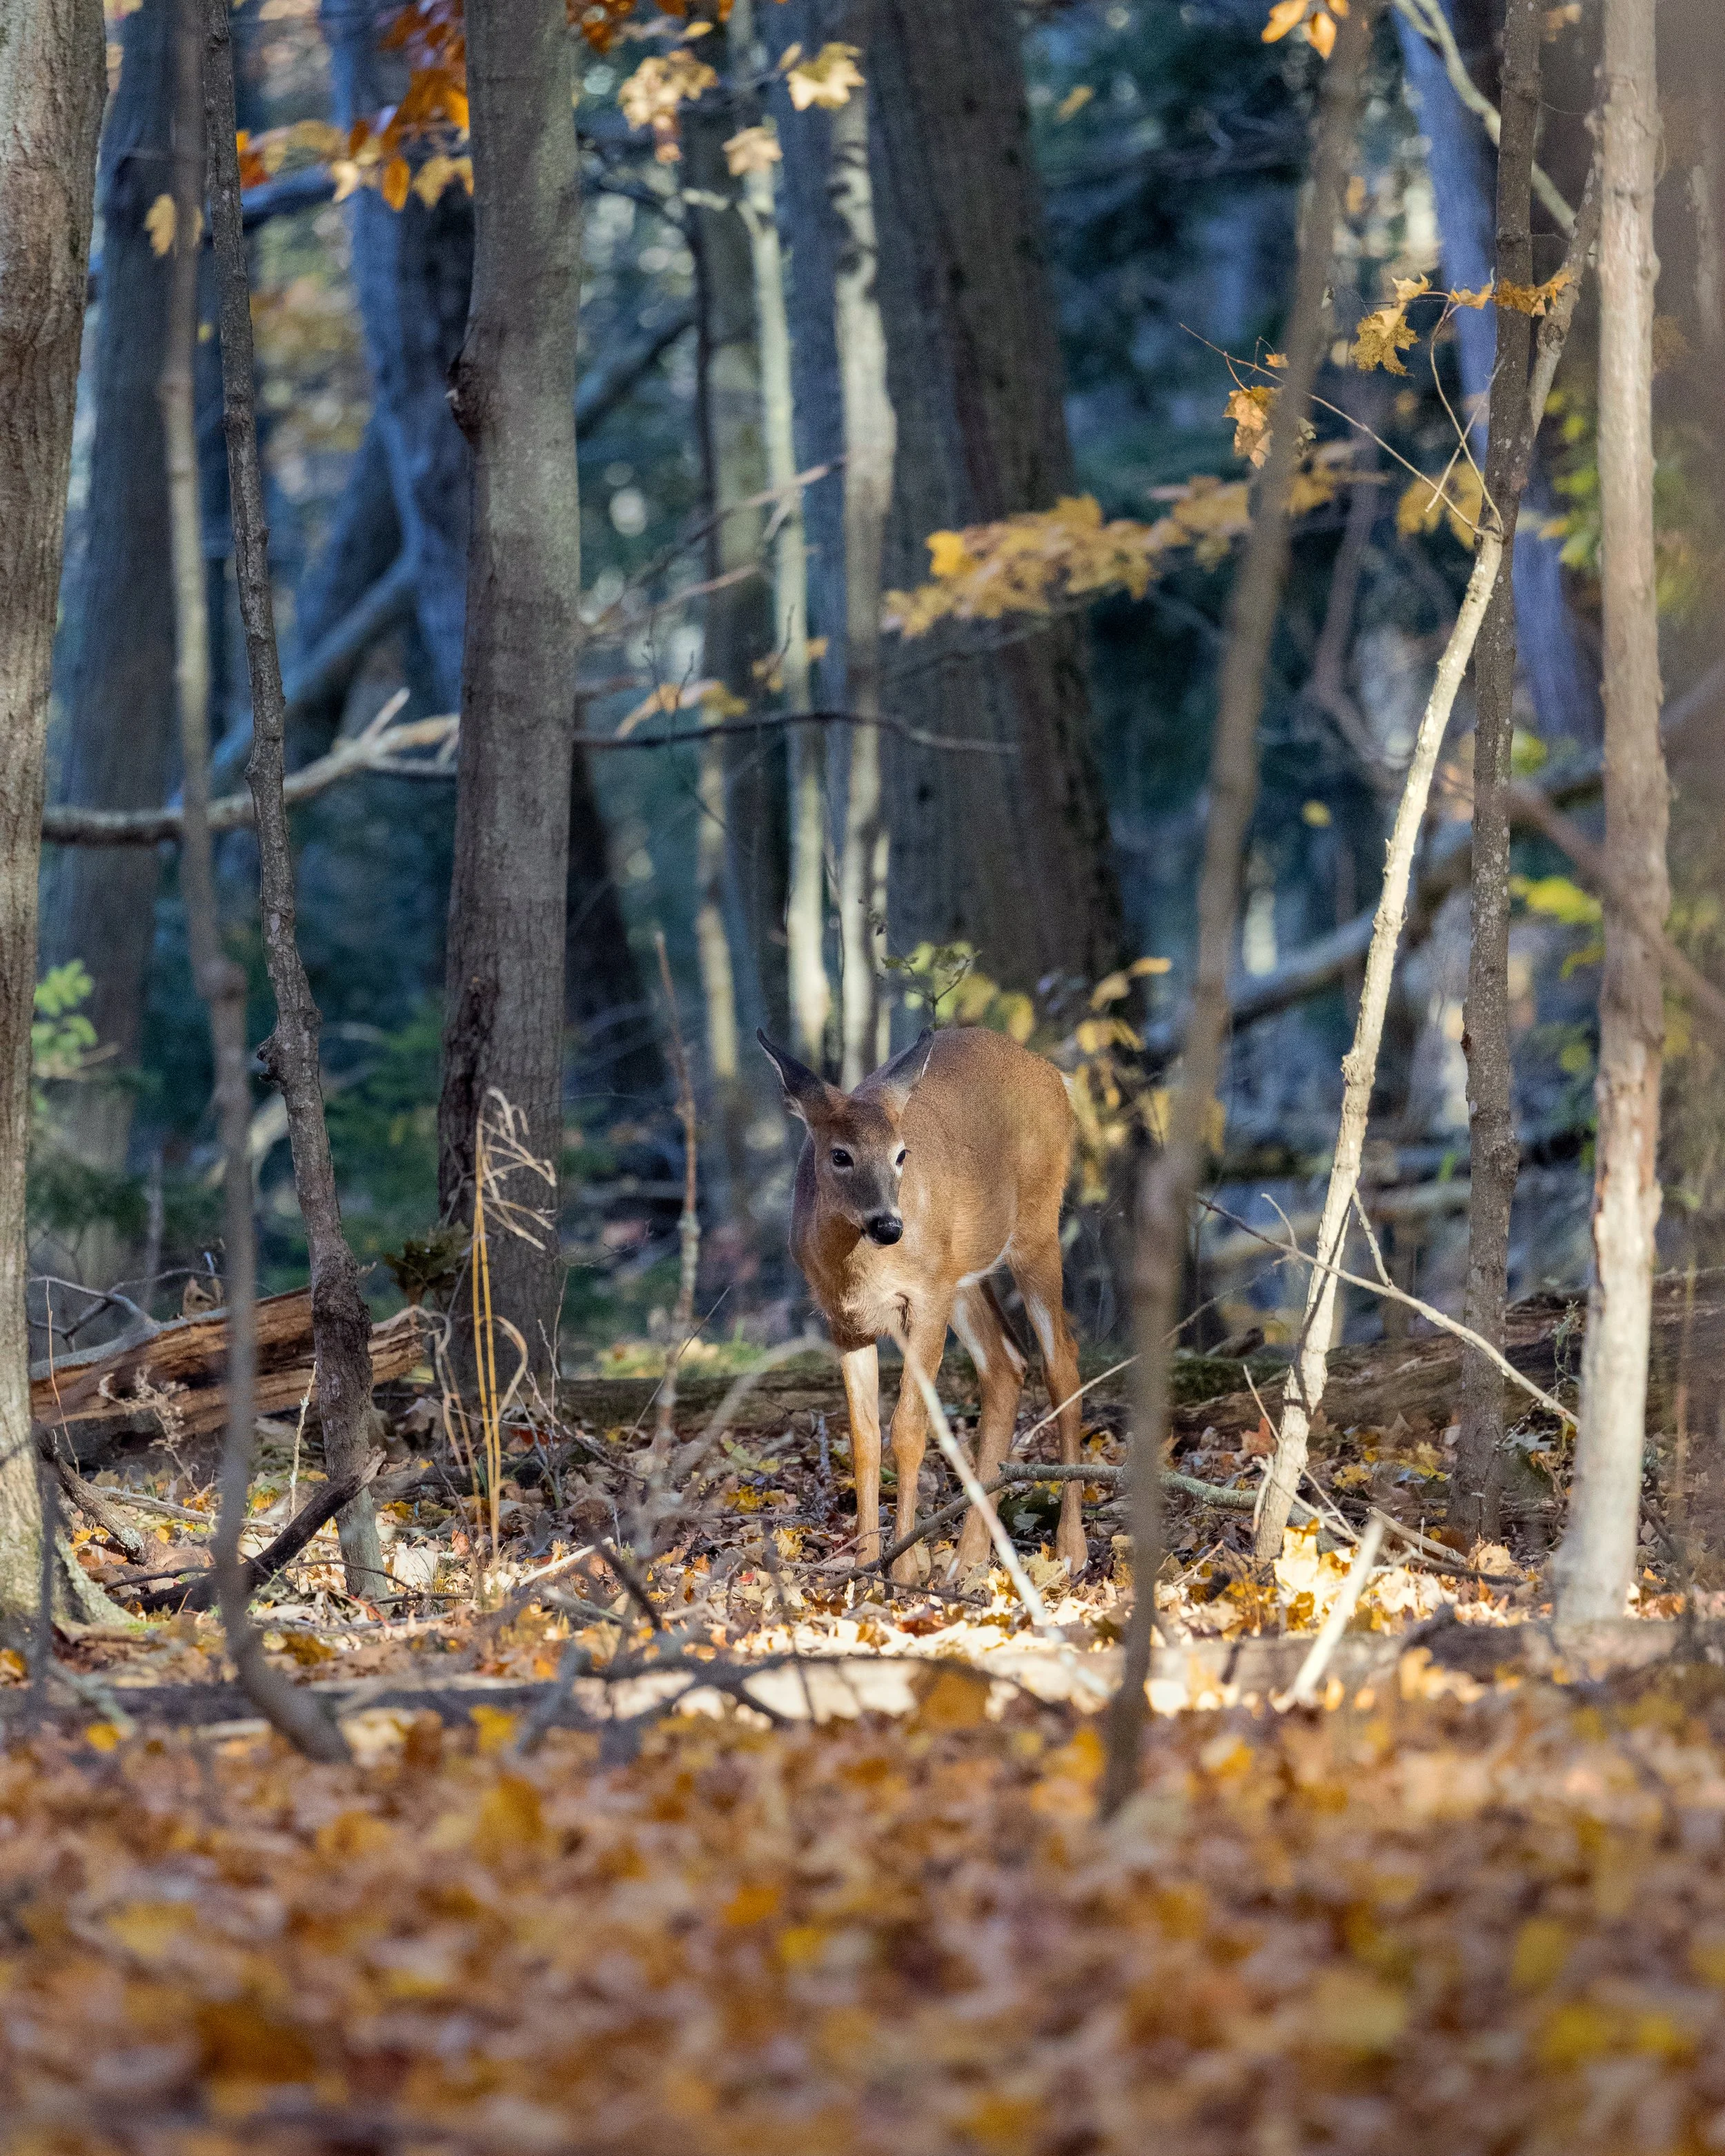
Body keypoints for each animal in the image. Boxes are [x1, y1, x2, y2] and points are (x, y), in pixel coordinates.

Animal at [757, 1024, 1086, 1585]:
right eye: (840, 1154)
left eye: (900, 1154)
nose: (890, 1224)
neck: (859, 1269)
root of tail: (1055, 1076)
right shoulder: (843, 1319)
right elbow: (864, 1438)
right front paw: (865, 1565)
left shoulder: (926, 1295)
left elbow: (909, 1428)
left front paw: (904, 1567)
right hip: (963, 1272)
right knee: (1005, 1365)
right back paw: (967, 1558)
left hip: (1035, 1230)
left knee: (1061, 1360)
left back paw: (1069, 1549)